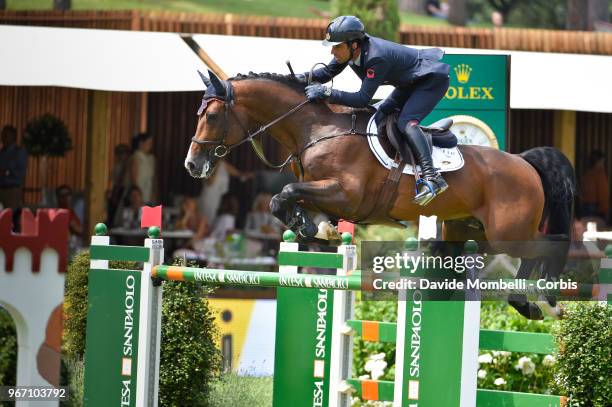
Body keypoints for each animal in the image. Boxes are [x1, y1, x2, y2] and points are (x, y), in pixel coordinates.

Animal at [184, 70, 576, 320]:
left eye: (213, 116)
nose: (192, 165)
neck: (318, 128)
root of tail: (524, 161)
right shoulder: (326, 194)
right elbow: (284, 200)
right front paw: (317, 227)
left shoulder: (345, 194)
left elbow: (284, 194)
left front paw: (314, 226)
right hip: (467, 231)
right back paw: (524, 301)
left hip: (506, 232)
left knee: (547, 245)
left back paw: (543, 300)